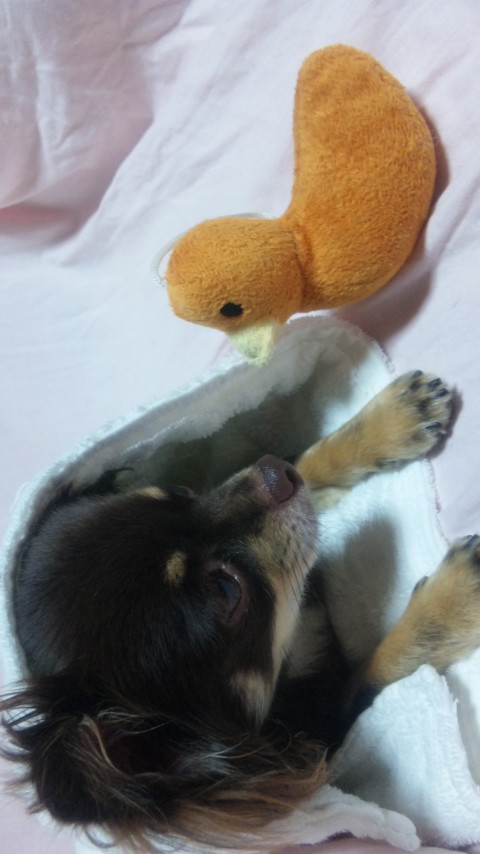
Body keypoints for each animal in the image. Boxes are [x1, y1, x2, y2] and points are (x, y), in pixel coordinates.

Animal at [2, 370, 480, 851]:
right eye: (226, 590)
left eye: (181, 492)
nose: (271, 471)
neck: (289, 649)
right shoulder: (325, 734)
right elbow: (370, 678)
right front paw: (454, 600)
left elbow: (306, 463)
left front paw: (388, 420)